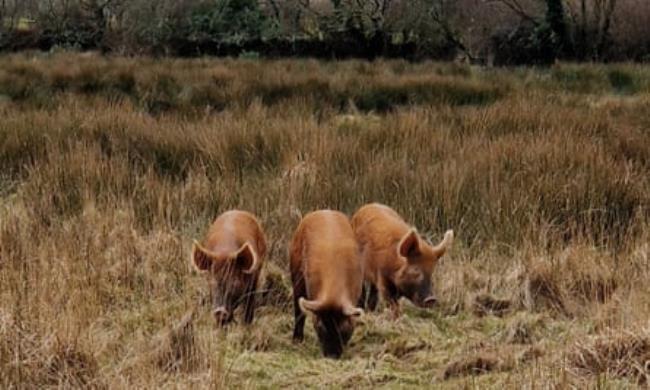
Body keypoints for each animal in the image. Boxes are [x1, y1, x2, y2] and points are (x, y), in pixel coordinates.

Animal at [290, 212, 364, 358]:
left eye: (343, 328)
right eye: (321, 327)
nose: (332, 355)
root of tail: (324, 211)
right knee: (297, 308)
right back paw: (297, 340)